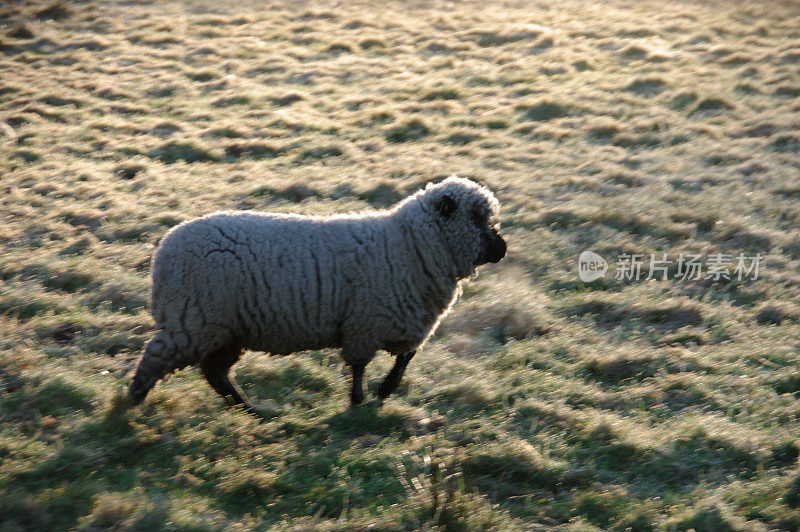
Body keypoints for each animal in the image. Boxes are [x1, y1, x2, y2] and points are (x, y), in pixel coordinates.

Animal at [130, 177, 506, 410]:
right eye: (476, 217)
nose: (502, 249)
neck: (410, 244)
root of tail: (164, 250)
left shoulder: (406, 324)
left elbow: (404, 359)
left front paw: (384, 391)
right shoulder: (365, 324)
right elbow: (360, 367)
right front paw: (359, 401)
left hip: (225, 330)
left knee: (215, 373)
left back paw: (247, 408)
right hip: (195, 320)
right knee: (156, 356)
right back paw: (133, 402)